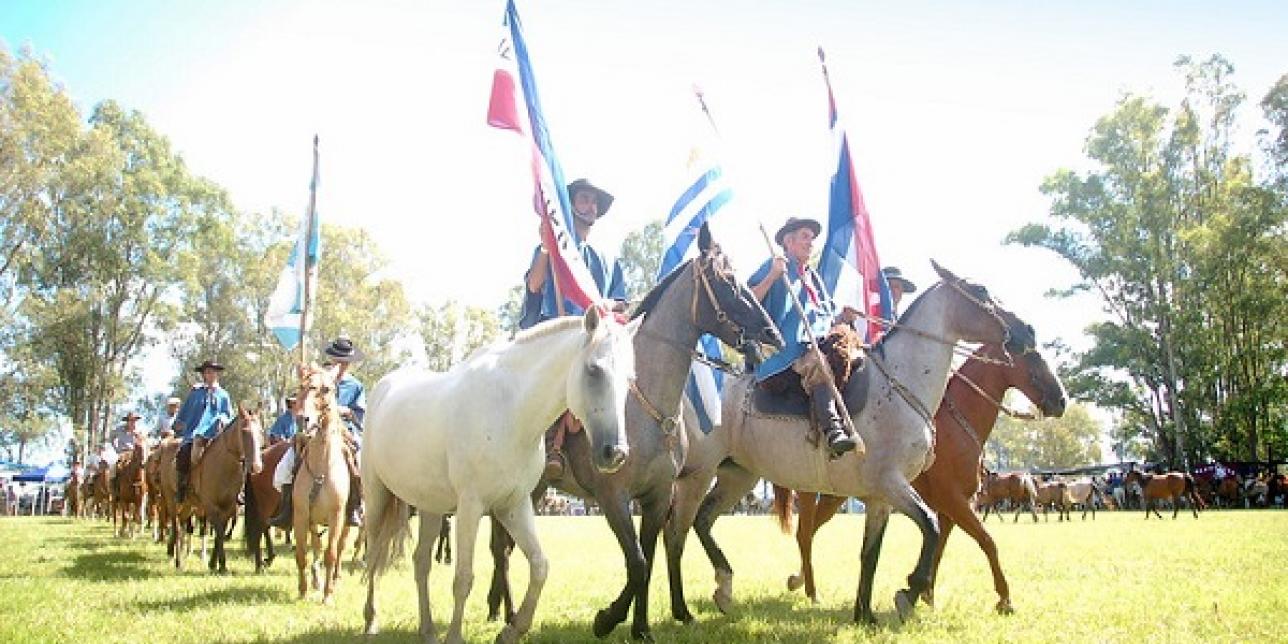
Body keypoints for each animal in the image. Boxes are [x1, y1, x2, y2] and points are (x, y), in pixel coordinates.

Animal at [291, 368, 350, 602]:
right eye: (301, 386)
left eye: (326, 389)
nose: (302, 419)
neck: (321, 468)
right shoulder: (301, 515)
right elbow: (301, 554)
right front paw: (303, 591)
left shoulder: (336, 517)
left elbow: (331, 554)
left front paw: (327, 596)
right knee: (315, 545)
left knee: (339, 548)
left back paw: (333, 579)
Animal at [360, 306, 641, 644]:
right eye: (594, 370)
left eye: (630, 380)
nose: (616, 453)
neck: (510, 411)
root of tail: (383, 387)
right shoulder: (470, 507)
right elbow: (463, 578)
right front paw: (456, 636)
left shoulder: (514, 506)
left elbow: (540, 566)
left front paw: (512, 629)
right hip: (376, 497)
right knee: (373, 555)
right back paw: (371, 620)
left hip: (431, 508)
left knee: (421, 562)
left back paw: (427, 630)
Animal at [486, 225, 777, 638]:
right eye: (727, 280)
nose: (772, 333)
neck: (644, 408)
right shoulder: (613, 496)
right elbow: (637, 563)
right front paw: (606, 619)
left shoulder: (657, 495)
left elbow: (648, 559)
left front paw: (640, 628)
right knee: (502, 548)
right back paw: (510, 615)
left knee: (506, 546)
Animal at [767, 327, 1061, 613]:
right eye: (1032, 355)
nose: (1061, 399)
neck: (956, 425)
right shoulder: (953, 500)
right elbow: (987, 540)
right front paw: (1004, 599)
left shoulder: (949, 508)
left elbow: (939, 547)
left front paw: (924, 594)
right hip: (812, 492)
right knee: (805, 534)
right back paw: (809, 590)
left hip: (834, 496)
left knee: (811, 531)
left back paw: (802, 583)